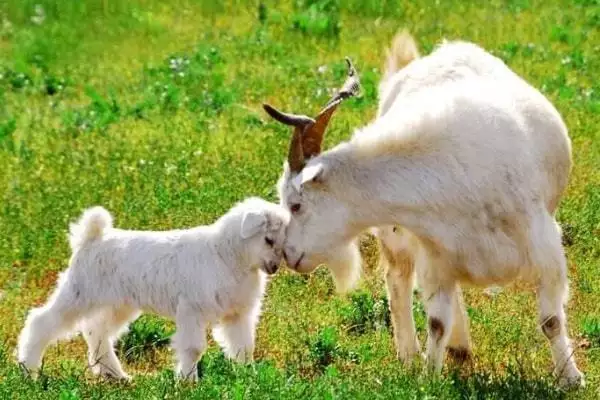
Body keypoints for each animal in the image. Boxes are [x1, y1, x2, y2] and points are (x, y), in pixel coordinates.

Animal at [17, 198, 290, 382]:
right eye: (268, 239)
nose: (275, 267)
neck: (226, 254)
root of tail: (92, 237)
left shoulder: (237, 314)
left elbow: (244, 347)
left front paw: (249, 377)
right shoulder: (192, 311)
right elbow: (193, 348)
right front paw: (189, 382)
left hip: (117, 305)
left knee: (97, 333)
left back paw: (116, 375)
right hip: (78, 295)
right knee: (42, 322)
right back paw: (29, 369)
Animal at [264, 32, 584, 388]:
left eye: (296, 204)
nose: (288, 255)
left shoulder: (544, 246)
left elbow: (551, 319)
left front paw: (571, 377)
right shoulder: (435, 252)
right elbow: (436, 322)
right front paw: (429, 377)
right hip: (400, 239)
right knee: (398, 280)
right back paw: (414, 352)